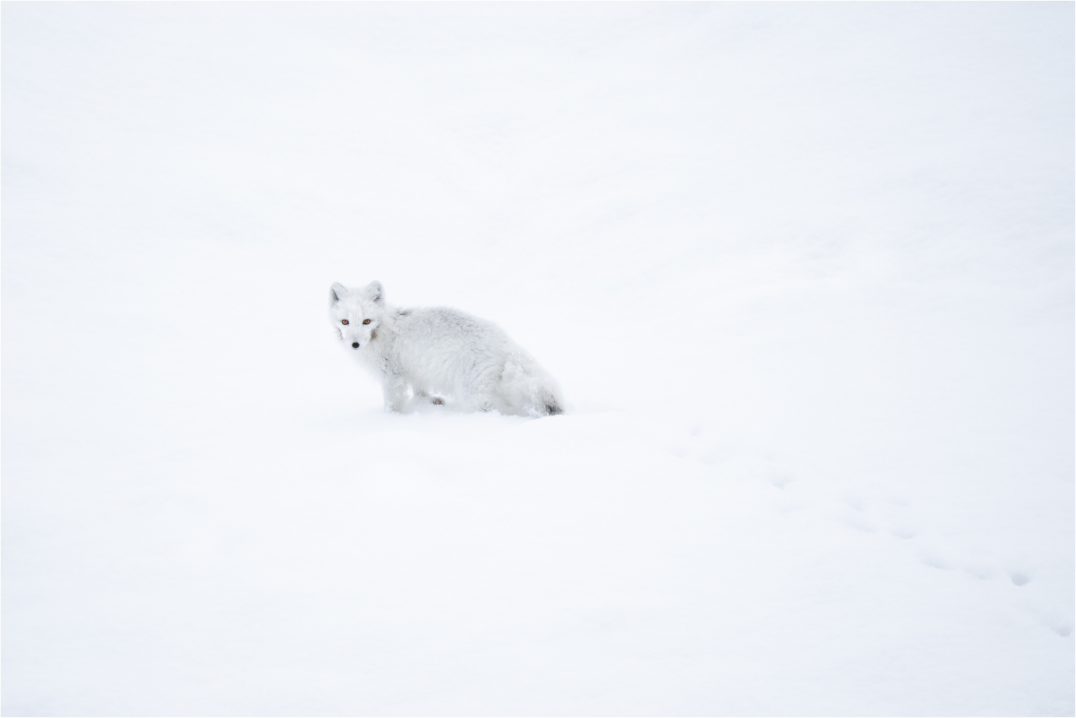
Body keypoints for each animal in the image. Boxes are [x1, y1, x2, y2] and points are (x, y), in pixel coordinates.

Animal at [329, 281, 564, 416]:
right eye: (345, 322)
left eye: (366, 321)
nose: (355, 345)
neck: (384, 329)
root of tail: (505, 341)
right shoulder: (416, 371)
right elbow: (420, 390)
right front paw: (429, 402)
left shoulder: (392, 376)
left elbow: (392, 402)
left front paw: (390, 419)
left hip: (472, 394)